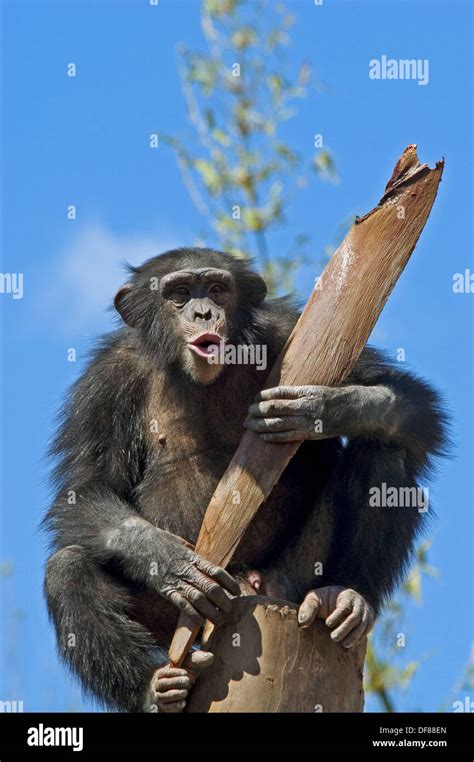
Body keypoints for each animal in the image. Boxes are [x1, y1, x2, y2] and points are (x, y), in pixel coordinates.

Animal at [42, 248, 446, 712]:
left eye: (218, 288)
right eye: (180, 293)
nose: (202, 311)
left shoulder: (284, 329)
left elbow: (413, 405)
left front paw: (323, 406)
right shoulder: (104, 383)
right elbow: (84, 488)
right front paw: (168, 558)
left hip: (290, 581)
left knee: (384, 450)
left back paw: (346, 595)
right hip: (184, 622)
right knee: (67, 569)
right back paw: (157, 691)